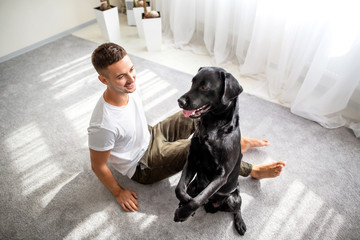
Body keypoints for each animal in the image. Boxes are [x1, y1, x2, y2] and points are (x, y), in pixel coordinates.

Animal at [174, 66, 248, 235]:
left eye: (204, 87)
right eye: (192, 82)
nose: (180, 101)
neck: (212, 126)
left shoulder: (221, 175)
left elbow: (199, 199)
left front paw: (183, 212)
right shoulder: (192, 159)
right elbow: (180, 190)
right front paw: (184, 204)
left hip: (233, 198)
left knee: (237, 208)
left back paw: (240, 223)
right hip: (194, 185)